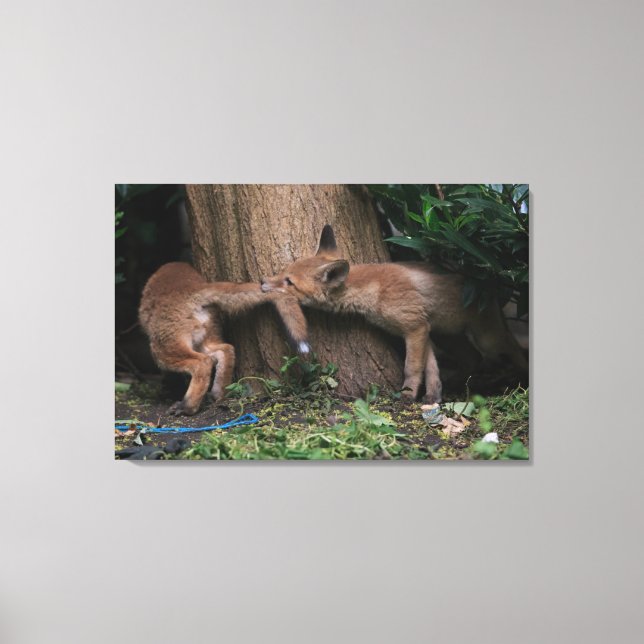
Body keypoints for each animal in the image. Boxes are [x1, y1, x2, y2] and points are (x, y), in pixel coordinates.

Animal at [139, 262, 309, 415]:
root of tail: (196, 288)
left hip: (162, 350)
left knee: (203, 363)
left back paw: (188, 407)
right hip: (205, 340)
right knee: (226, 350)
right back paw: (219, 394)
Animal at [260, 225, 528, 404]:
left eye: (289, 282)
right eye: (283, 272)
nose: (262, 282)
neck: (374, 290)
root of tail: (487, 285)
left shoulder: (415, 329)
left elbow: (412, 367)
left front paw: (408, 394)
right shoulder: (423, 330)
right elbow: (430, 368)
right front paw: (433, 396)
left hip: (488, 338)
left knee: (511, 349)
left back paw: (522, 378)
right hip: (448, 337)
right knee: (473, 358)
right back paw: (457, 382)